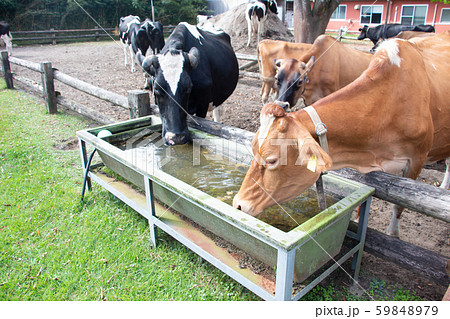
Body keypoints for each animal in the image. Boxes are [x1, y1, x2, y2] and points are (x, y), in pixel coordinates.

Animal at [236, 34, 450, 238]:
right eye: (277, 80)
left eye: (272, 160)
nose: (238, 204)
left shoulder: (417, 159)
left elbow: (399, 204)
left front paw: (393, 233)